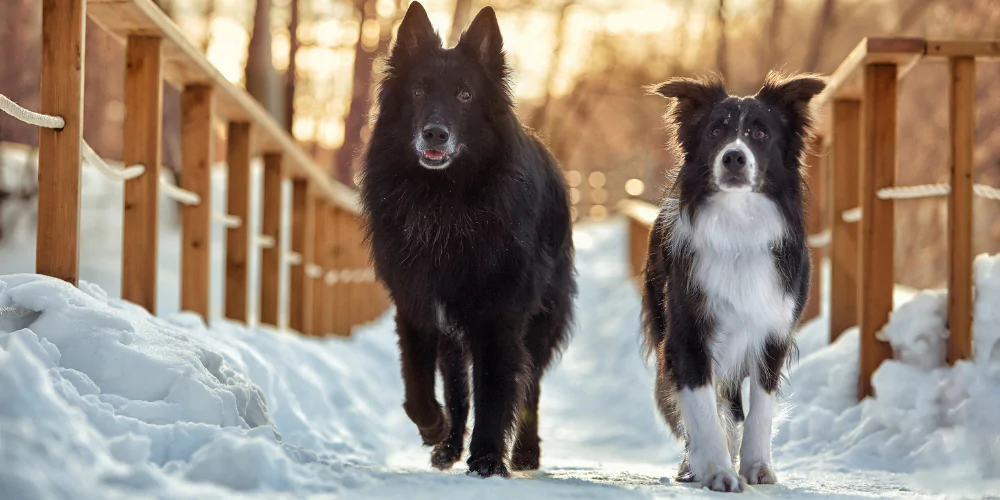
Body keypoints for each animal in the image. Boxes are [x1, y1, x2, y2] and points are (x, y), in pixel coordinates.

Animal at [360, 1, 580, 478]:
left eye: (464, 95)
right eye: (419, 91)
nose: (435, 133)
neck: (446, 200)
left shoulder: (498, 317)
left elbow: (497, 392)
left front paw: (487, 459)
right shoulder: (418, 305)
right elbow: (418, 384)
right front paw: (435, 427)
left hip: (539, 321)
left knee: (530, 385)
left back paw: (525, 452)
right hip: (453, 335)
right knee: (458, 387)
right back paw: (447, 445)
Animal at [640, 74, 828, 492]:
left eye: (760, 133)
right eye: (715, 131)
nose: (734, 157)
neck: (738, 226)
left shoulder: (773, 330)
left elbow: (760, 408)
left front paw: (756, 466)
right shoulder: (688, 334)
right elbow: (703, 409)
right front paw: (718, 470)